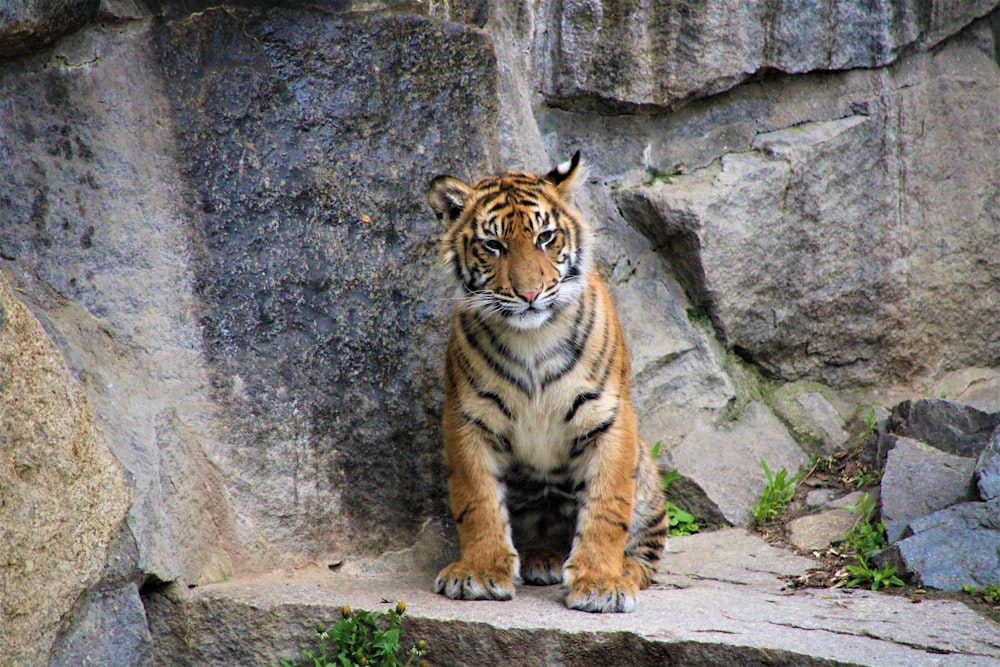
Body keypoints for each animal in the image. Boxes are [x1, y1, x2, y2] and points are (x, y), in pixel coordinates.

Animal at [426, 153, 668, 616]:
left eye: (546, 237)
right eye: (493, 245)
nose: (530, 294)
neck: (532, 338)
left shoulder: (609, 417)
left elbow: (608, 506)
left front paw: (601, 582)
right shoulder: (468, 419)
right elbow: (476, 500)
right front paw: (480, 571)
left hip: (647, 470)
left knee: (647, 553)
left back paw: (625, 571)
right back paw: (542, 558)